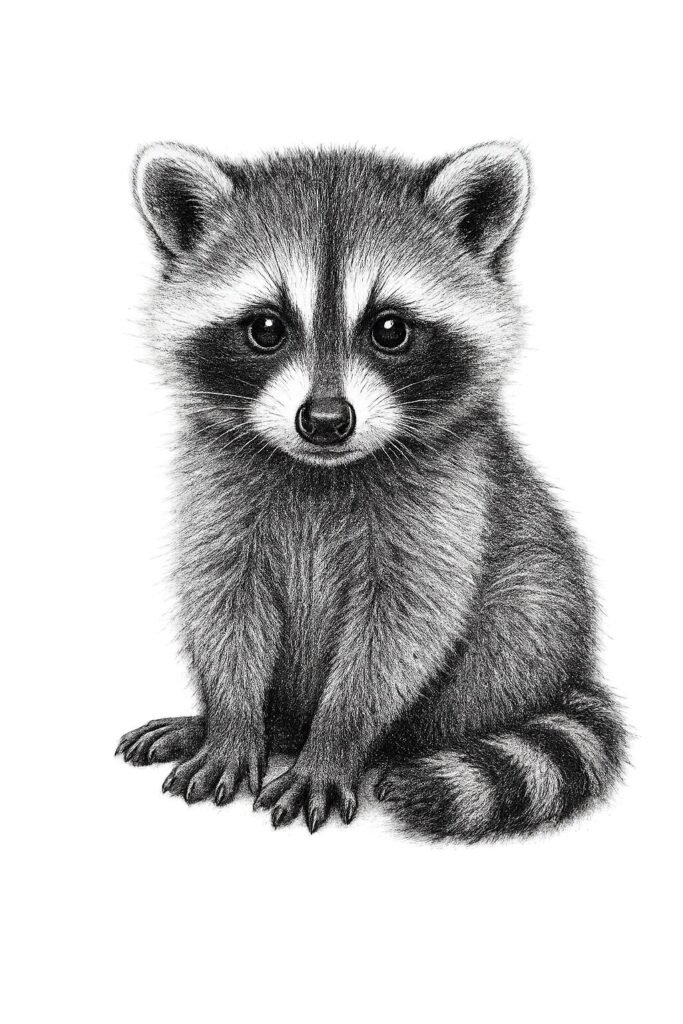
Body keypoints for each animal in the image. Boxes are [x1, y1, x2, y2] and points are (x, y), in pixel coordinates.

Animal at [116, 141, 626, 841]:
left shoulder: (449, 499)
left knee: (509, 630)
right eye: (266, 328)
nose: (326, 420)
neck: (322, 470)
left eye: (390, 329)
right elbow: (224, 603)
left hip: (534, 619)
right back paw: (236, 726)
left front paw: (335, 744)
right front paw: (230, 723)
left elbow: (399, 630)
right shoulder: (217, 488)